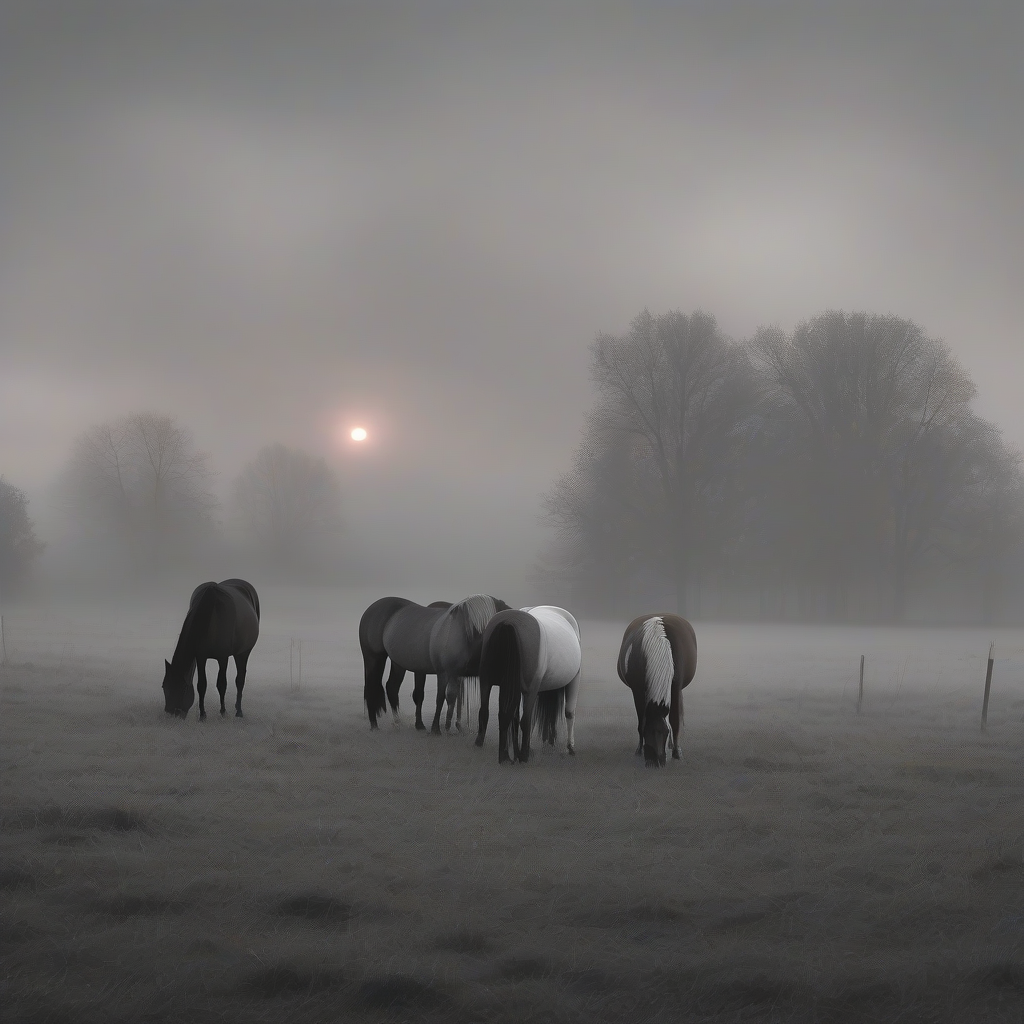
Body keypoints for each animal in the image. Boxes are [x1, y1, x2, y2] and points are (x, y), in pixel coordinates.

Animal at [161, 577, 260, 720]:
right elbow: (201, 685)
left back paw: (239, 711)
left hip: (243, 652)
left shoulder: (223, 658)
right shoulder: (200, 657)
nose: (171, 713)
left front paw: (223, 711)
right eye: (164, 687)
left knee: (240, 679)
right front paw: (202, 715)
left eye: (183, 689)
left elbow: (222, 684)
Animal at [358, 598, 450, 733]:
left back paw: (397, 722)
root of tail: (370, 610)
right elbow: (420, 694)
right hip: (374, 658)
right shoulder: (422, 670)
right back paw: (375, 725)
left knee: (391, 687)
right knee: (372, 687)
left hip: (397, 663)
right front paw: (421, 725)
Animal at [428, 598, 512, 733]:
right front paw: (439, 727)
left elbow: (453, 696)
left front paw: (449, 725)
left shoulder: (455, 674)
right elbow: (444, 696)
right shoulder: (446, 673)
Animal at [475, 602, 581, 765]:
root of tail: (508, 622)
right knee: (525, 720)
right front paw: (570, 747)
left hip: (487, 682)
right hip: (531, 690)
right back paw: (523, 755)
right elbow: (569, 712)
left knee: (487, 711)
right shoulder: (573, 679)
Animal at [614, 610, 696, 765]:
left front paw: (677, 752)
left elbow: (674, 721)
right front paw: (639, 750)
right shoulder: (638, 691)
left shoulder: (675, 688)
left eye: (665, 733)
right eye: (647, 734)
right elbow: (641, 721)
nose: (657, 761)